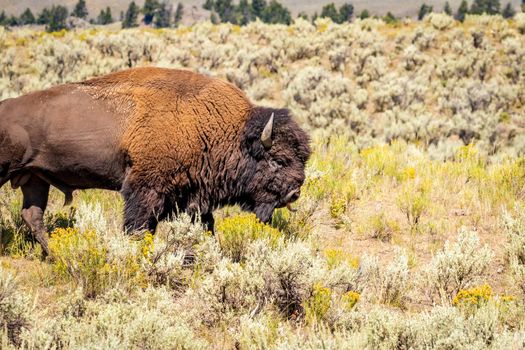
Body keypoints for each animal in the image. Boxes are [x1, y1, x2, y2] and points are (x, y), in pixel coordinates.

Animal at [0, 67, 312, 253]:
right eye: (277, 160)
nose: (295, 193)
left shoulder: (193, 196)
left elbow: (204, 226)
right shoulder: (145, 188)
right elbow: (138, 227)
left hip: (34, 178)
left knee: (32, 215)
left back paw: (53, 254)